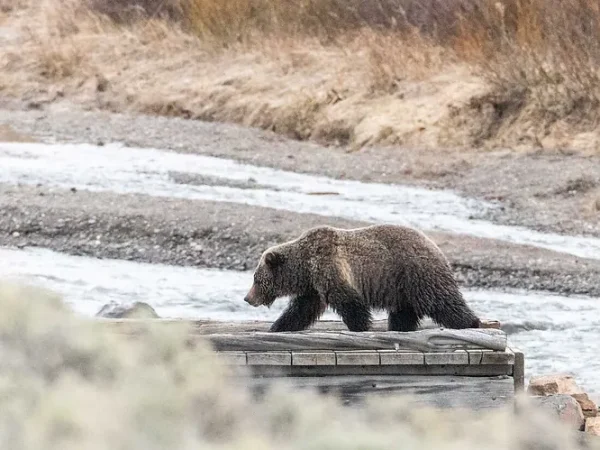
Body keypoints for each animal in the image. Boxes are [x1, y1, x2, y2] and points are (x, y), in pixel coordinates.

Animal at [241, 224, 480, 332]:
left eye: (256, 279)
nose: (247, 298)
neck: (304, 267)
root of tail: (435, 246)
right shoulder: (313, 286)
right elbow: (302, 309)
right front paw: (278, 326)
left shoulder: (329, 266)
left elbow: (348, 300)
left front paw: (359, 326)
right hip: (401, 286)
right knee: (404, 311)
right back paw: (400, 327)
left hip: (417, 272)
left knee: (441, 301)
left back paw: (471, 322)